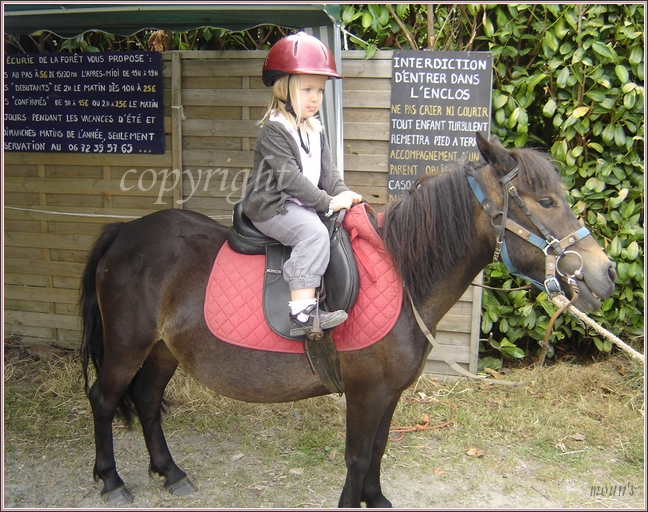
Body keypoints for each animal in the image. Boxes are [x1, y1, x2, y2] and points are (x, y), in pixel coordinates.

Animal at [79, 133, 616, 508]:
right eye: (545, 201)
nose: (606, 273)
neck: (404, 275)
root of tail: (124, 233)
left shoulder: (389, 393)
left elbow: (377, 450)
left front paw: (375, 500)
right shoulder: (366, 392)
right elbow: (357, 457)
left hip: (162, 350)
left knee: (147, 401)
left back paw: (169, 472)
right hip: (126, 347)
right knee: (104, 399)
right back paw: (111, 479)